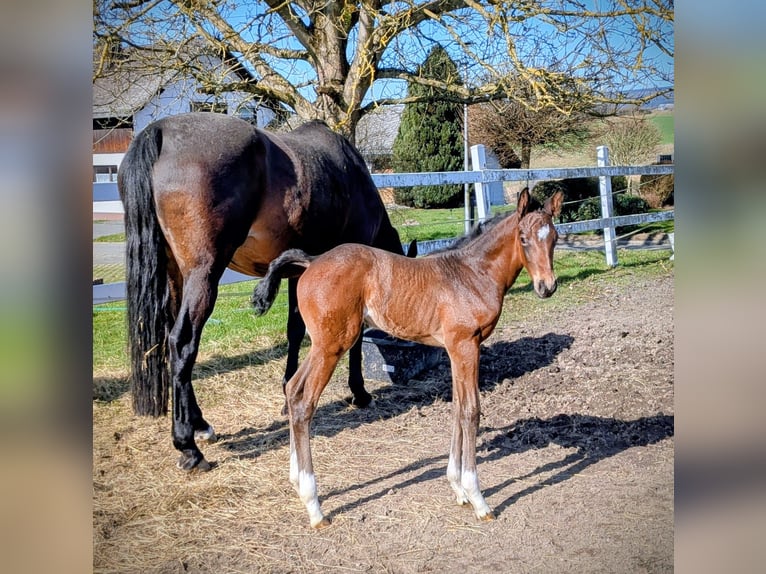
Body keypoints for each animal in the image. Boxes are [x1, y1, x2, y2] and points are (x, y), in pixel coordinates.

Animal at [118, 112, 415, 472]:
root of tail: (160, 130)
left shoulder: (297, 273)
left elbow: (295, 329)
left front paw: (288, 395)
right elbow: (352, 338)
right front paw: (359, 393)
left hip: (175, 273)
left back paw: (200, 424)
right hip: (204, 273)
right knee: (182, 342)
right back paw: (188, 447)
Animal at [251, 187, 564, 528]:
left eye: (555, 237)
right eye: (523, 238)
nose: (547, 287)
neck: (471, 274)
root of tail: (311, 261)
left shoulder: (455, 350)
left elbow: (457, 407)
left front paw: (458, 490)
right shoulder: (466, 346)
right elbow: (471, 411)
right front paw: (478, 499)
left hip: (323, 344)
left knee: (293, 390)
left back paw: (297, 483)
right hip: (333, 345)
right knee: (305, 403)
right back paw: (314, 506)